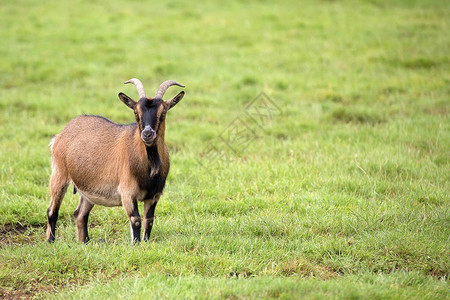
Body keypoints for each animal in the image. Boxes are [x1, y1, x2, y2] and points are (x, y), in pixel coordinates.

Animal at [45, 78, 185, 243]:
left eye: (163, 112)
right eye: (136, 112)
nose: (147, 134)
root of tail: (59, 136)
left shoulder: (154, 195)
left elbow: (149, 220)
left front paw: (145, 243)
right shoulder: (128, 193)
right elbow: (136, 220)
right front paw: (136, 244)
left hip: (87, 190)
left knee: (80, 214)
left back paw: (84, 242)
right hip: (59, 174)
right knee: (52, 210)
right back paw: (51, 241)